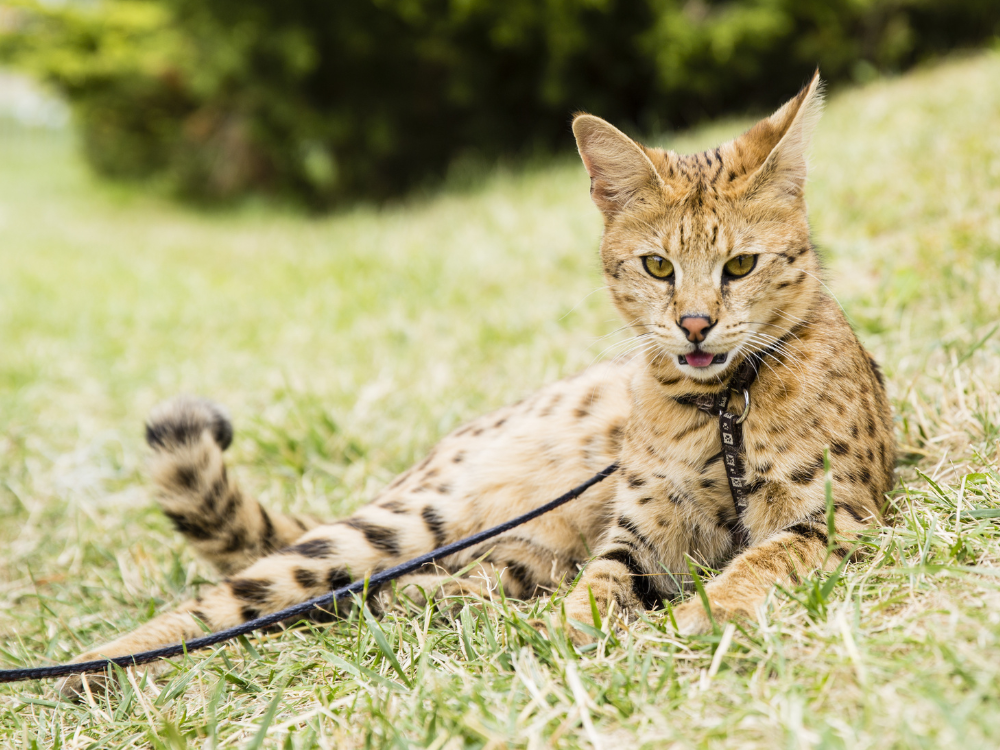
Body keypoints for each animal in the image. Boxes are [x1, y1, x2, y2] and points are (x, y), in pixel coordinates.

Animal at [58, 72, 896, 700]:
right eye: (658, 266)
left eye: (741, 265)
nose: (694, 325)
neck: (722, 403)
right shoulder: (640, 535)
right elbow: (601, 585)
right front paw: (573, 635)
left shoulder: (837, 514)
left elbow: (758, 561)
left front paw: (699, 617)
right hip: (409, 519)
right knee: (236, 598)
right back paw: (97, 665)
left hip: (514, 548)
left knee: (413, 586)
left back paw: (420, 601)